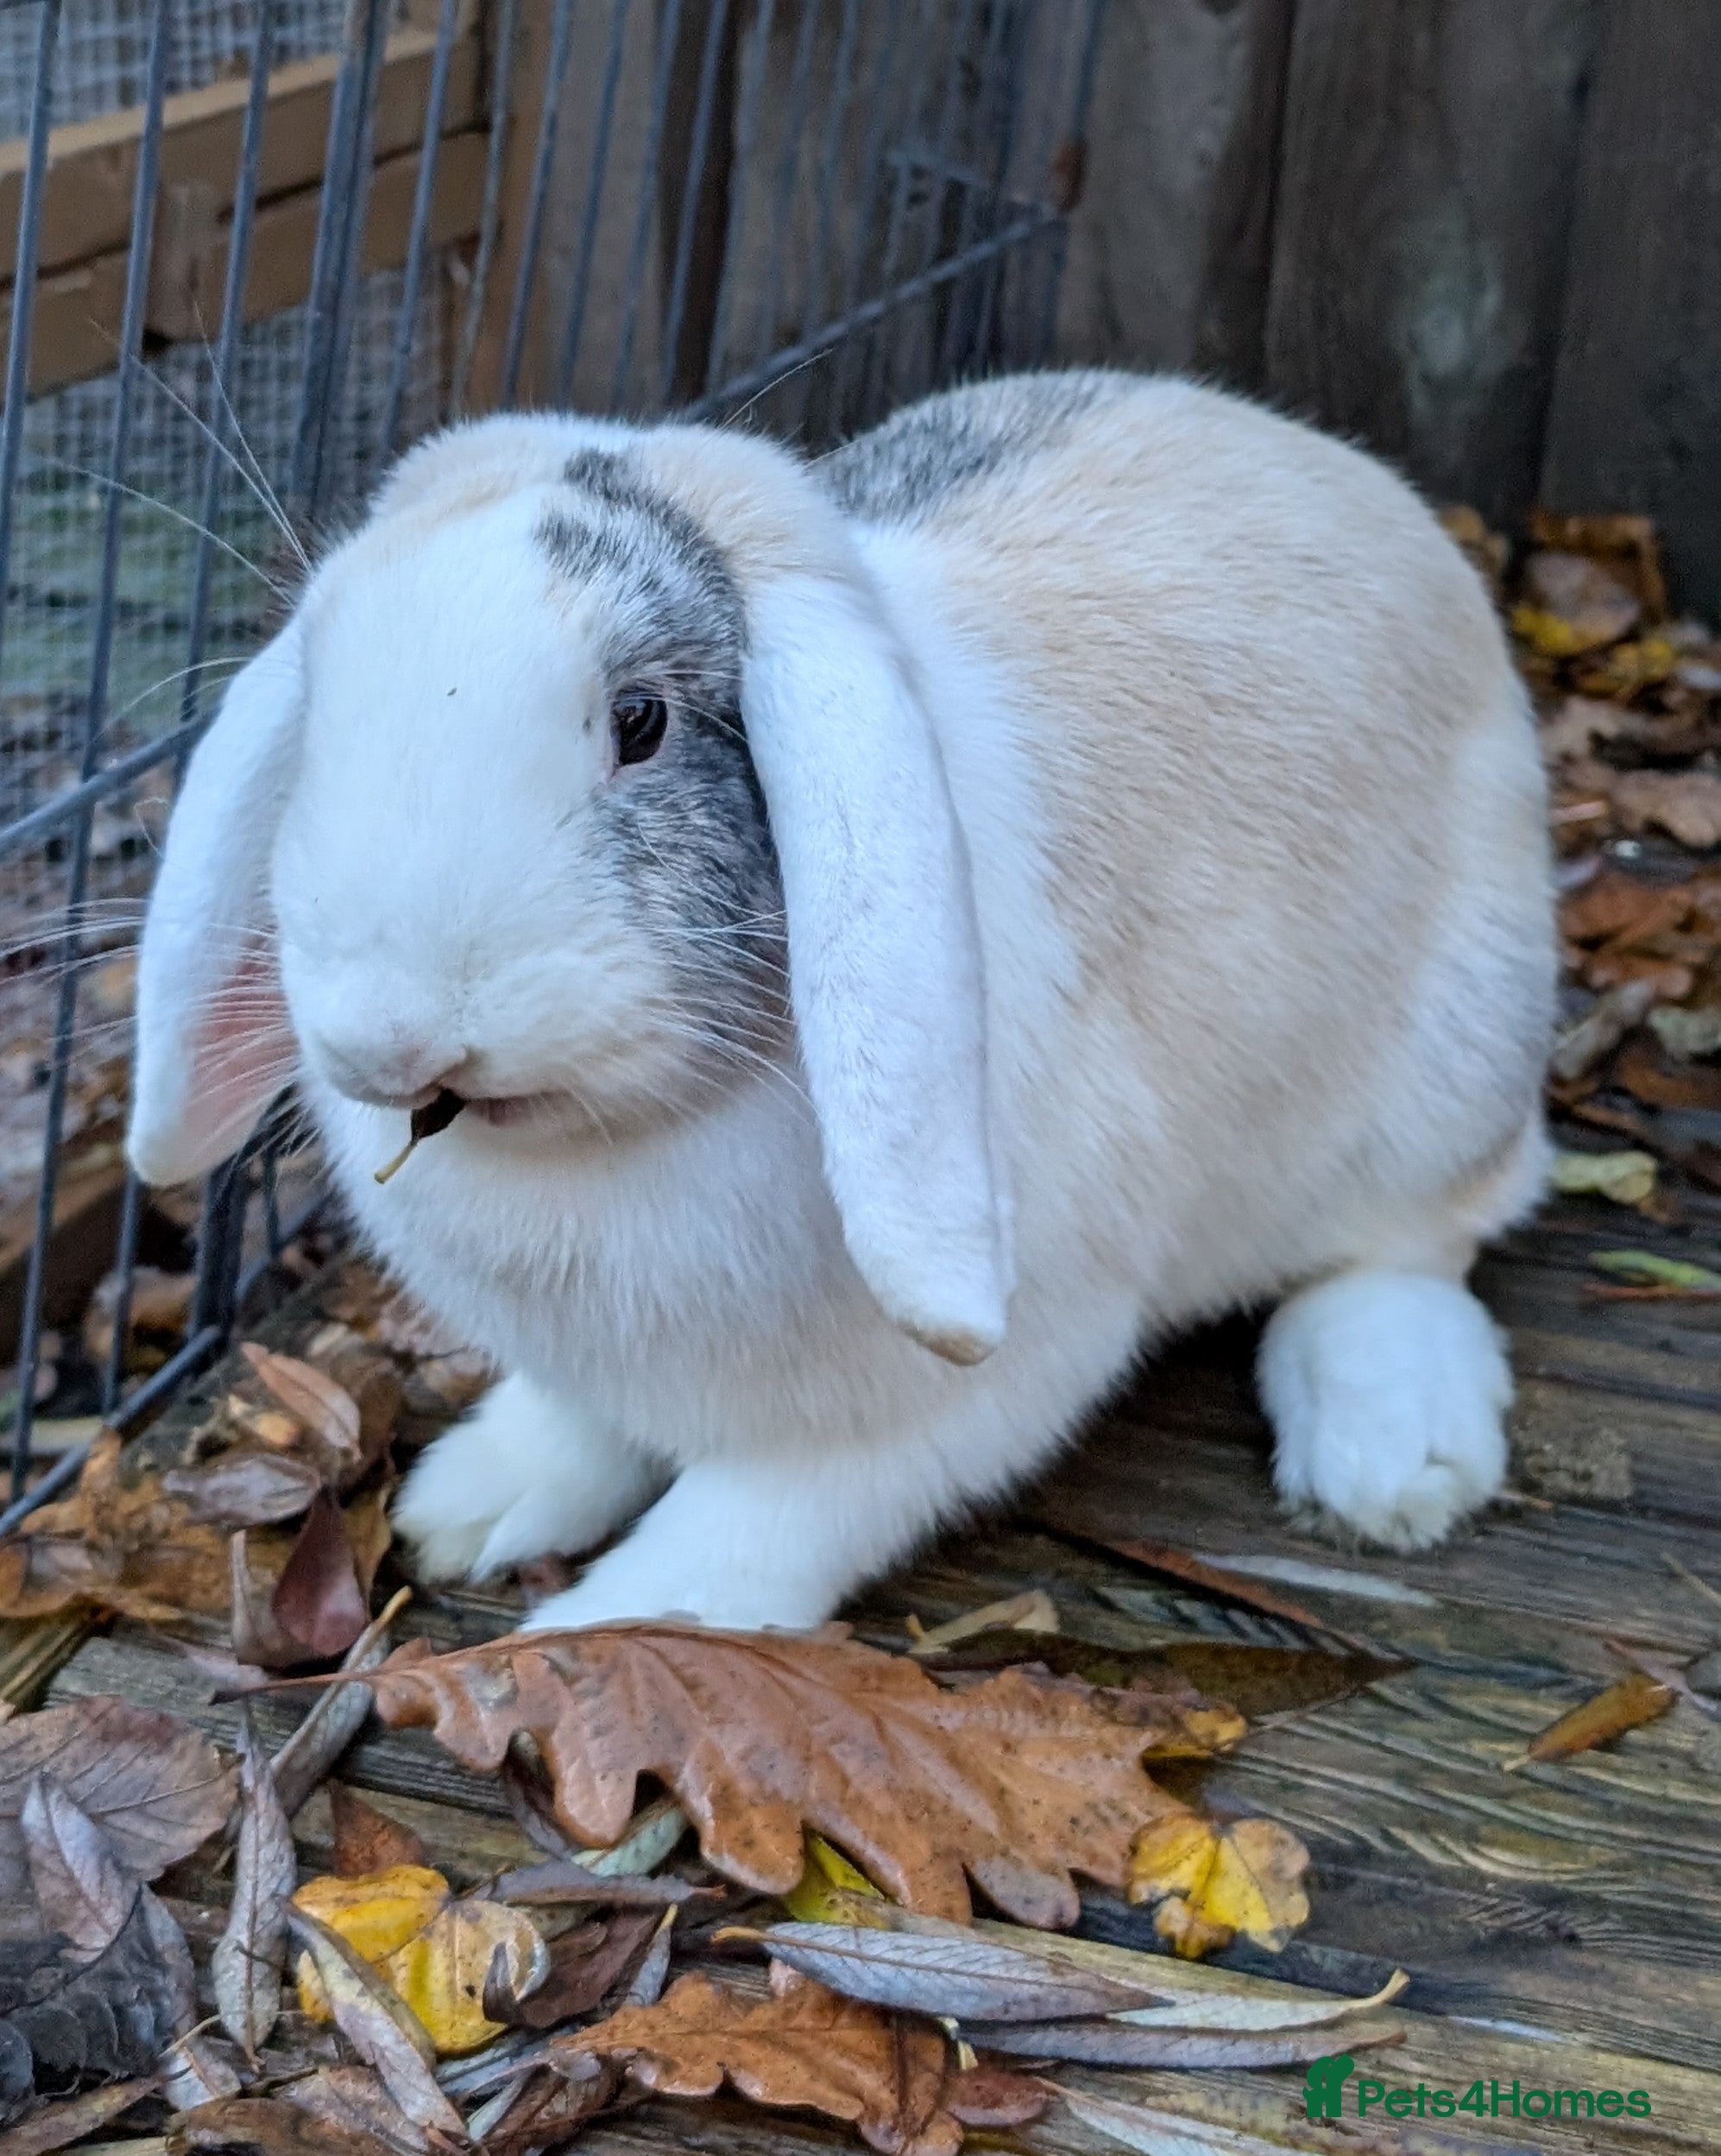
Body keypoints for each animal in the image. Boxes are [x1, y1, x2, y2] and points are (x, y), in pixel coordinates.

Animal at [127, 370, 1555, 1633]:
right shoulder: (592, 1365)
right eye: (321, 709)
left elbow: (769, 1516)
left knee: (1410, 1245)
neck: (611, 1148)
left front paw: (615, 1623)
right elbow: (577, 1427)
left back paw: (1392, 1460)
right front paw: (471, 1504)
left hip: (1446, 1069)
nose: (392, 1033)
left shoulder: (953, 1391)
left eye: (640, 720)